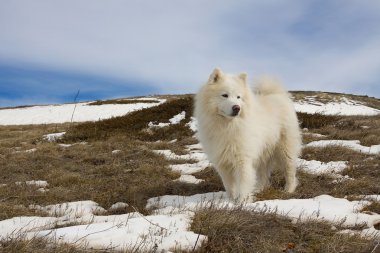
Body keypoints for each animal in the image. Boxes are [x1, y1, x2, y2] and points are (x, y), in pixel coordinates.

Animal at [194, 67, 302, 202]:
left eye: (238, 97)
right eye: (225, 95)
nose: (237, 108)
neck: (227, 127)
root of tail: (276, 94)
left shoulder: (243, 159)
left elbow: (244, 183)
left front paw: (242, 202)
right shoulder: (223, 162)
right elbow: (229, 185)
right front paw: (230, 201)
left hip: (285, 149)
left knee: (289, 171)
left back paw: (288, 190)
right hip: (263, 153)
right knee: (263, 175)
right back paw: (259, 189)